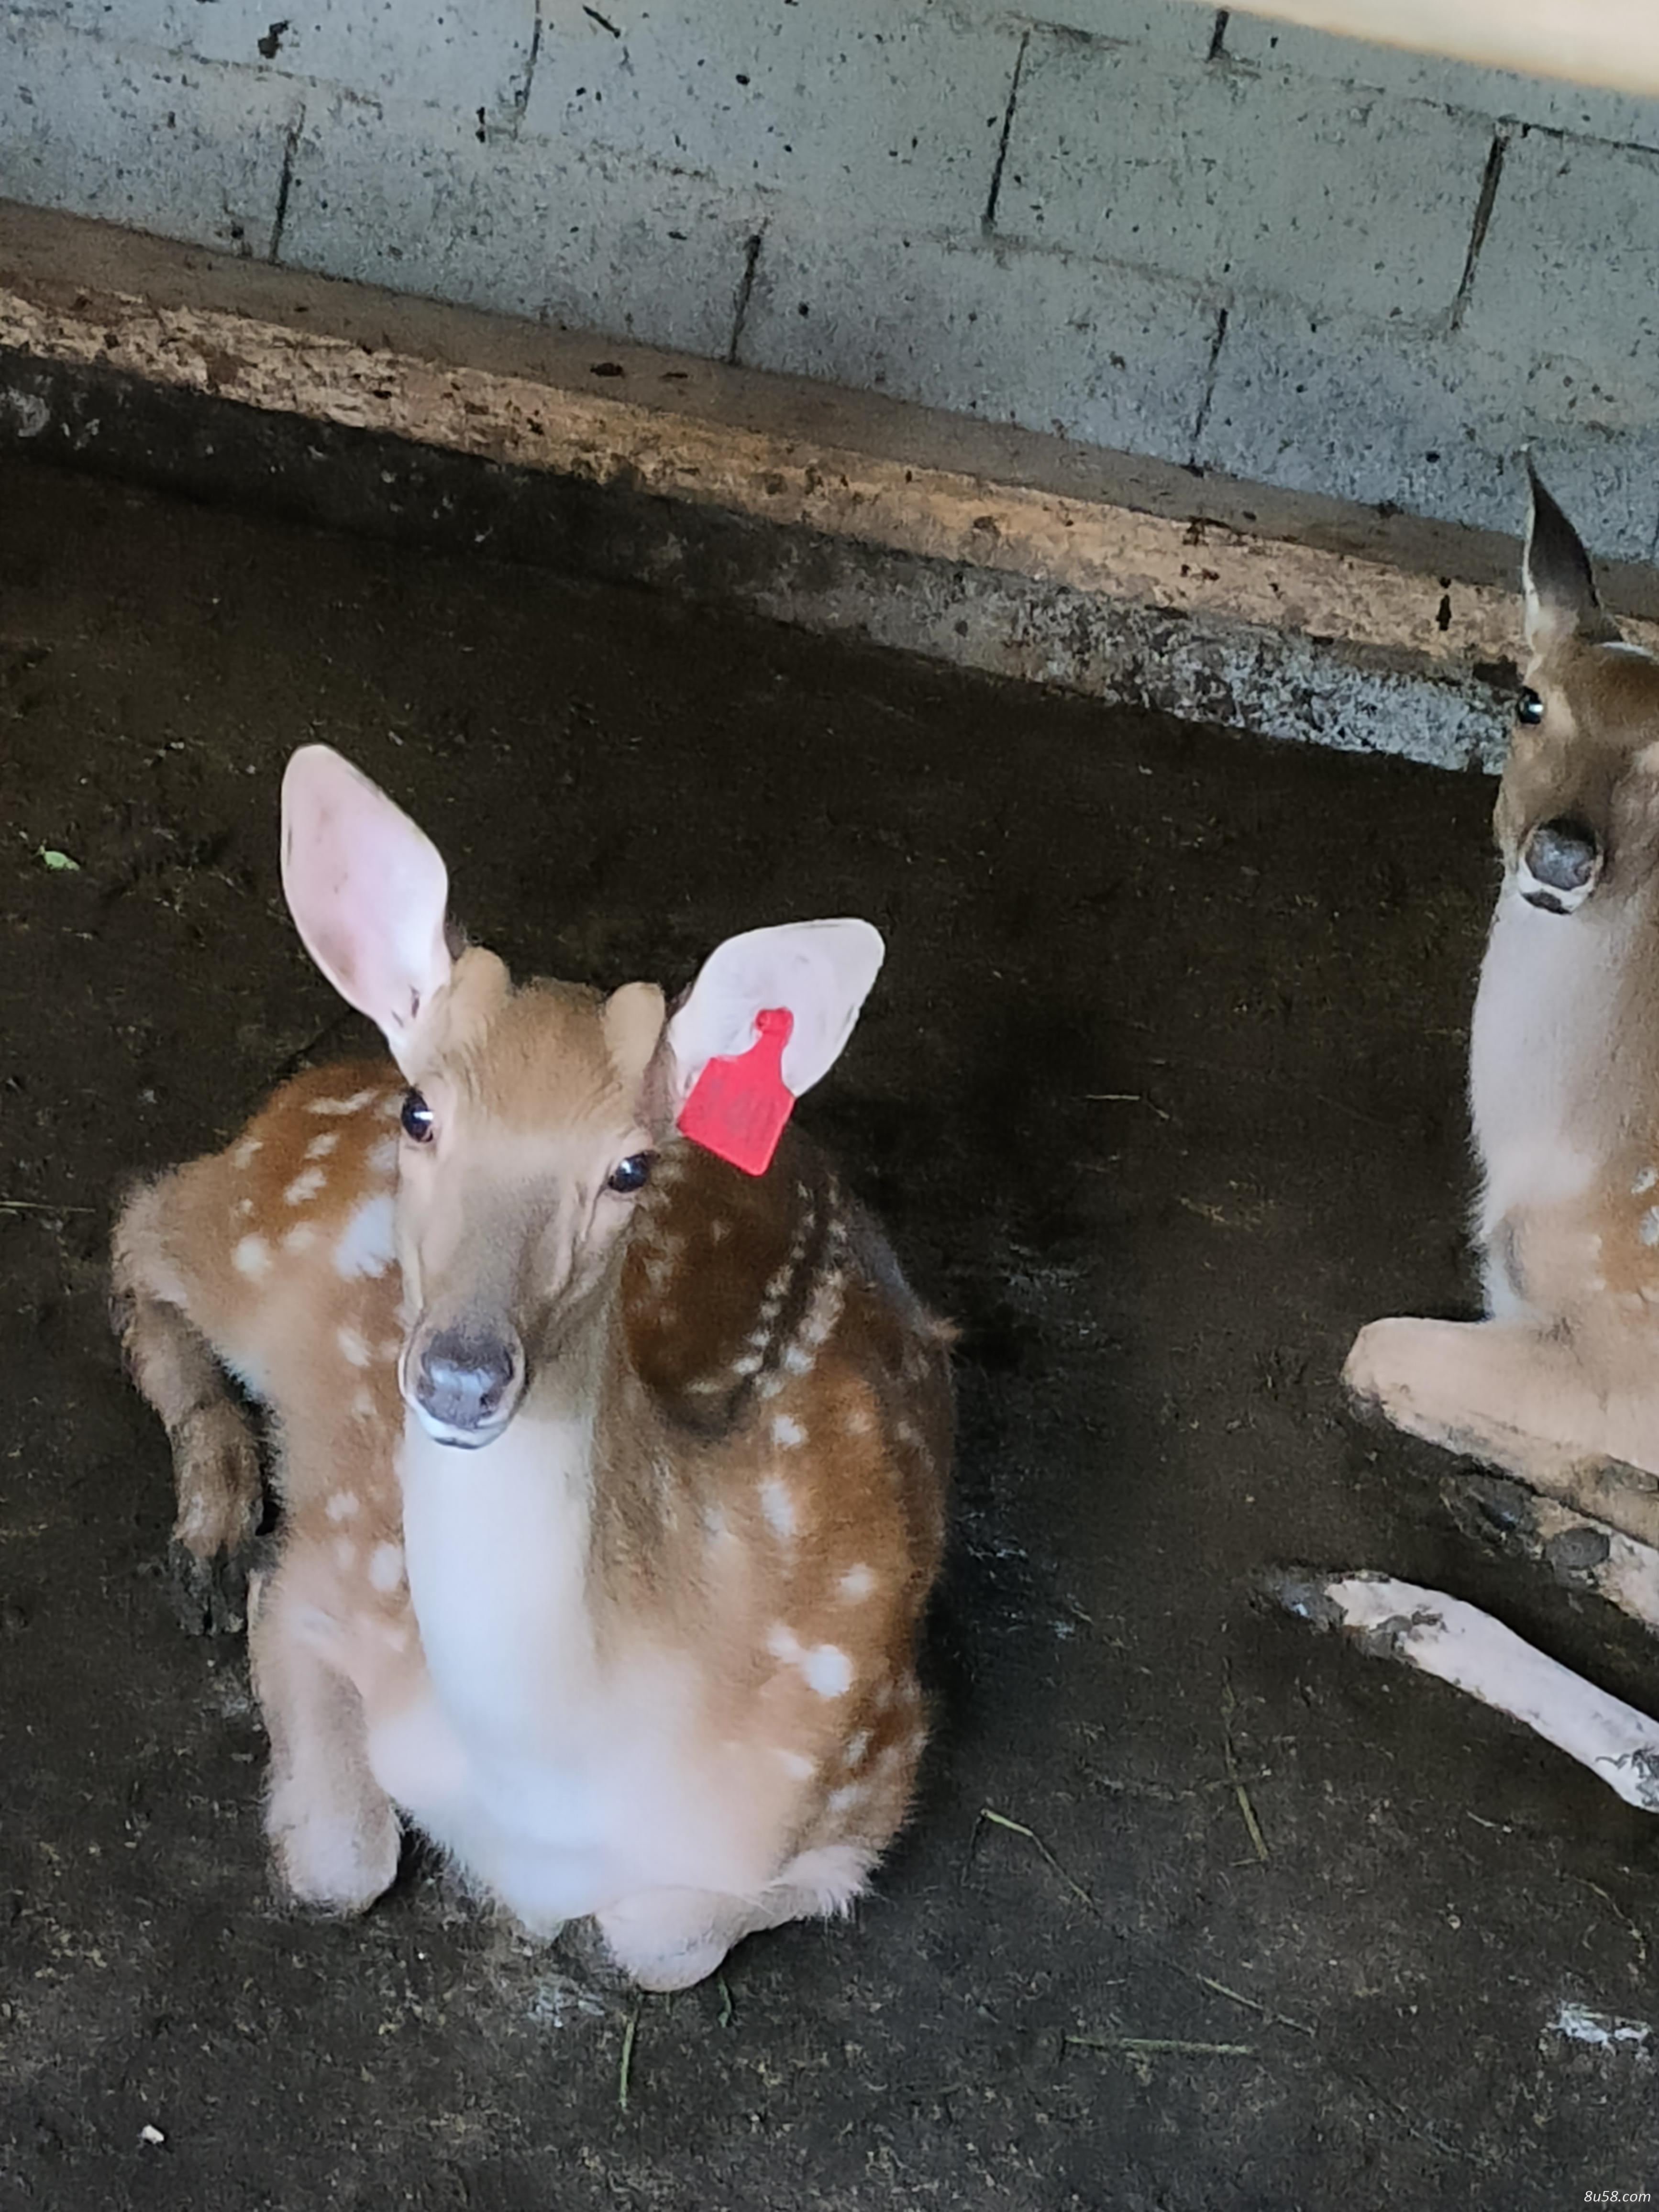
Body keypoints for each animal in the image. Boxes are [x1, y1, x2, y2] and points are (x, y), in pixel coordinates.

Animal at [110, 745, 953, 1990]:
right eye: (424, 1114)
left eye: (632, 1166)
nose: (462, 1370)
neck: (543, 1783)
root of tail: (320, 1079)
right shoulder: (337, 1578)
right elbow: (336, 1865)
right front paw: (244, 1564)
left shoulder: (877, 1768)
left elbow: (654, 1942)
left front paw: (595, 1939)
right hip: (267, 1227)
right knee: (141, 1219)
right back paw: (213, 1527)